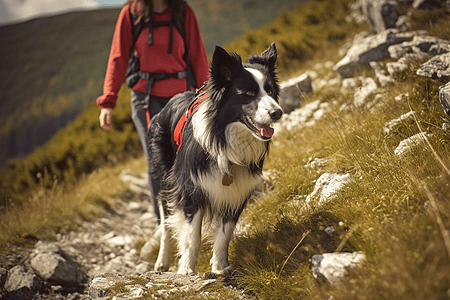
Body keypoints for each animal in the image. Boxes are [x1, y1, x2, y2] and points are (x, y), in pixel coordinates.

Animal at [149, 43, 284, 276]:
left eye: (270, 91)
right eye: (248, 93)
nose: (278, 112)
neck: (226, 141)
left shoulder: (236, 190)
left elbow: (225, 233)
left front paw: (220, 267)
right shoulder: (191, 188)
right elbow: (192, 236)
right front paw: (187, 270)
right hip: (165, 178)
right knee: (165, 223)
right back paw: (162, 262)